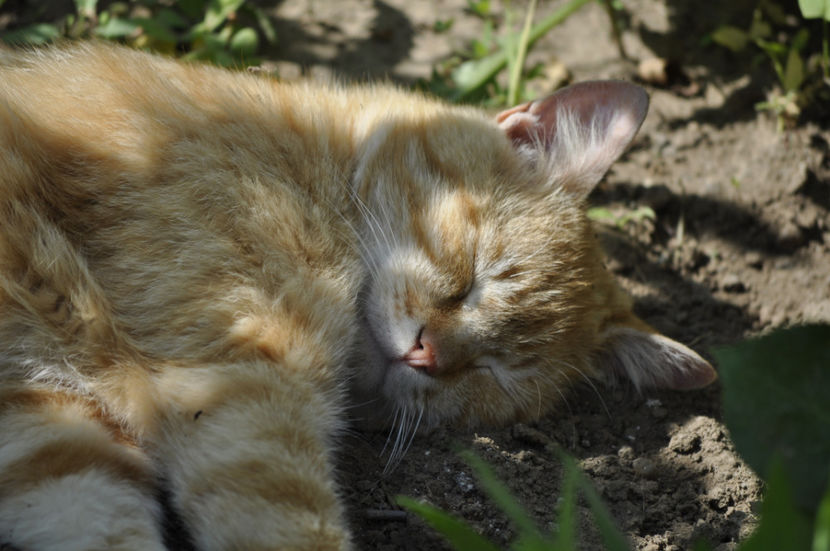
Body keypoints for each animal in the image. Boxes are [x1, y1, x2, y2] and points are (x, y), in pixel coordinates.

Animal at [0, 41, 716, 548]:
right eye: (474, 277)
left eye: (496, 374)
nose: (427, 355)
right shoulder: (244, 376)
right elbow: (287, 529)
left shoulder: (55, 436)